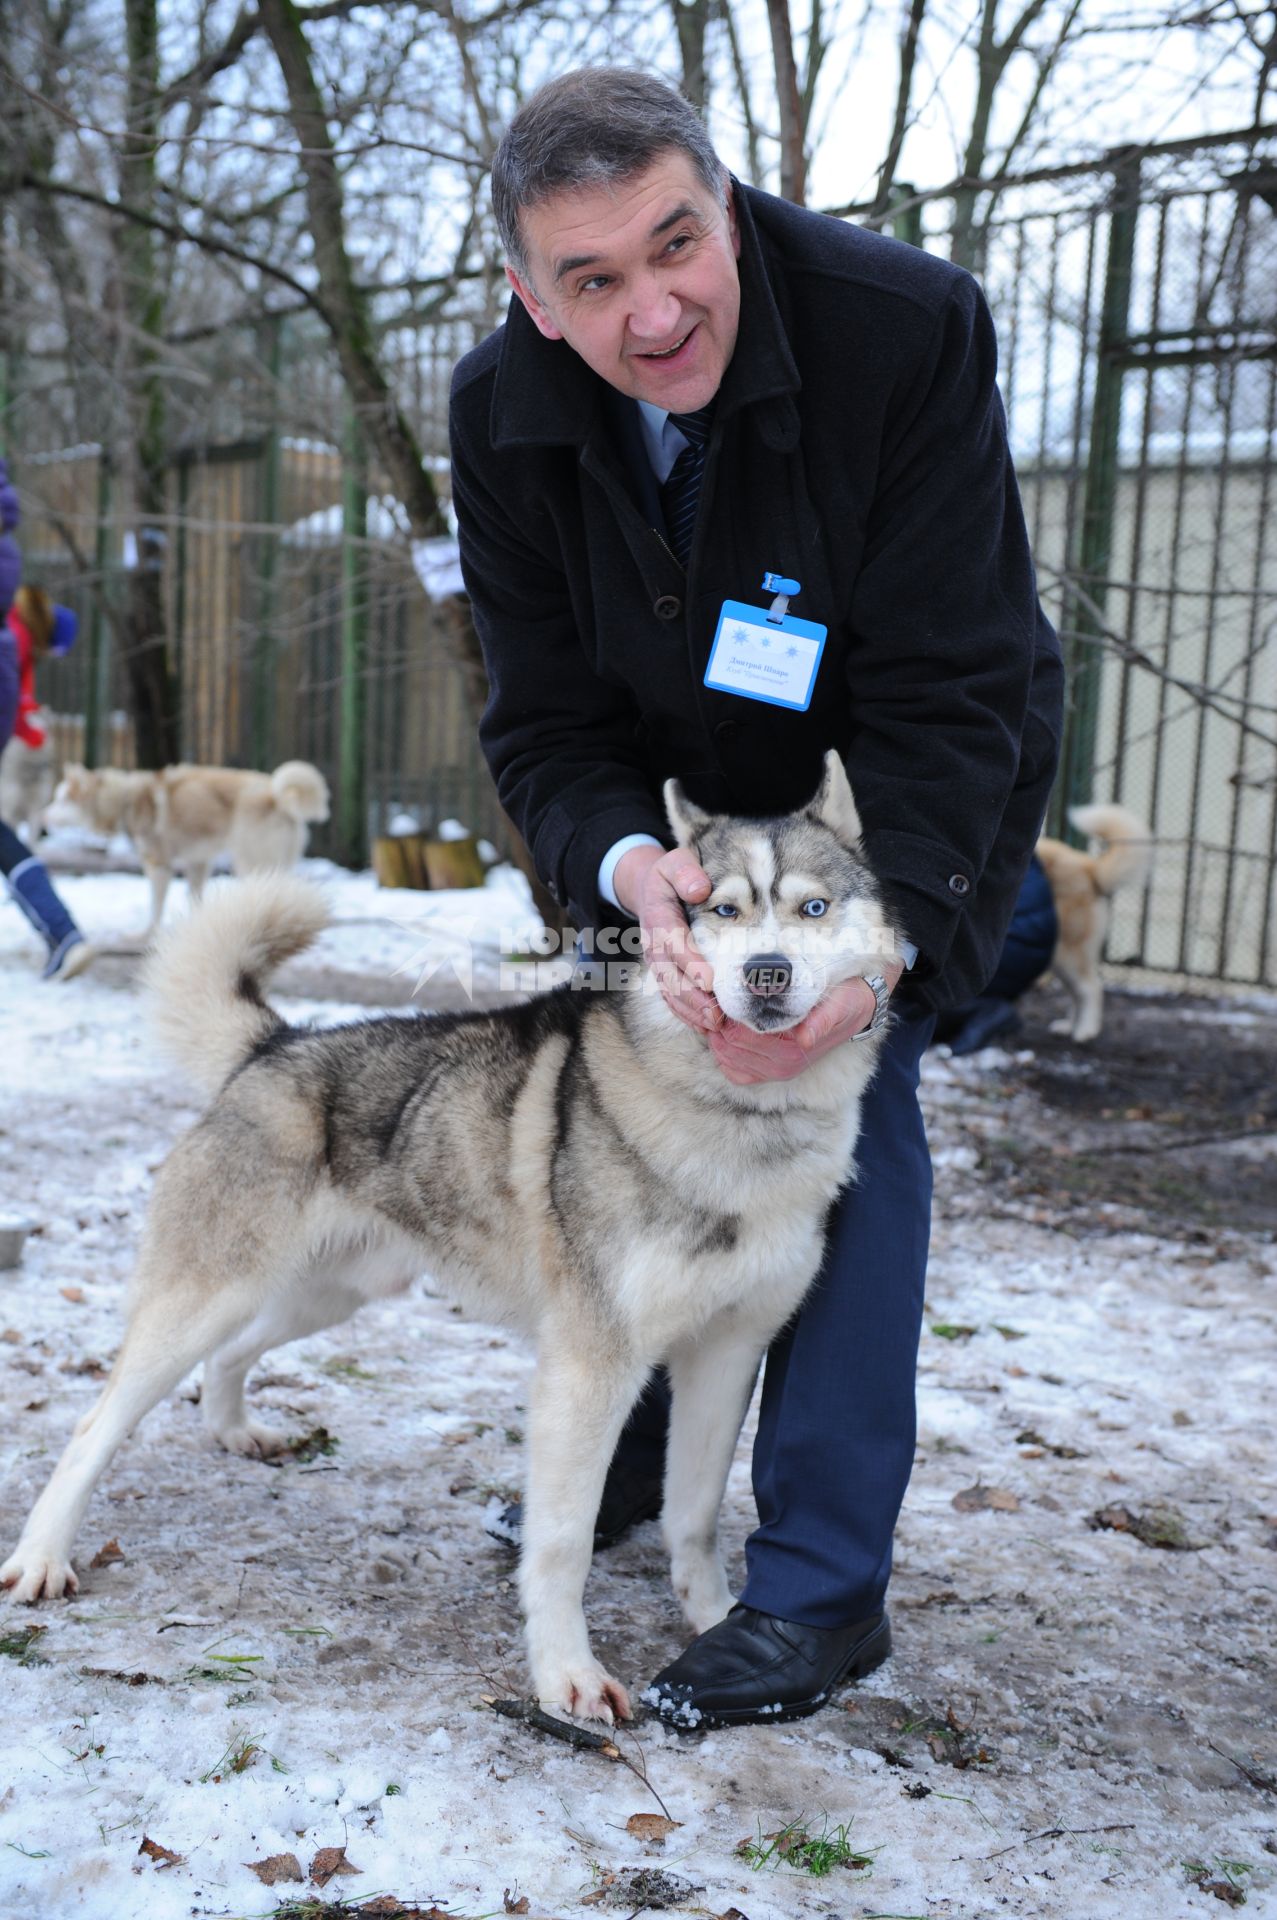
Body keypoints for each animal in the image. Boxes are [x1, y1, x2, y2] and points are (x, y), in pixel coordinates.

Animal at [46, 752, 328, 933]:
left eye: (61, 800)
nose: (43, 817)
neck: (125, 800)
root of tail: (277, 795)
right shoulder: (198, 863)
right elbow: (194, 898)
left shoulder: (159, 864)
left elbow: (155, 905)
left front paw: (147, 934)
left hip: (250, 861)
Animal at [1029, 802, 1152, 1044]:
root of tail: (1089, 868)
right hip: (1059, 957)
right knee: (1077, 992)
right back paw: (1070, 1026)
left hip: (1067, 953)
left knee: (1091, 988)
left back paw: (1085, 1031)